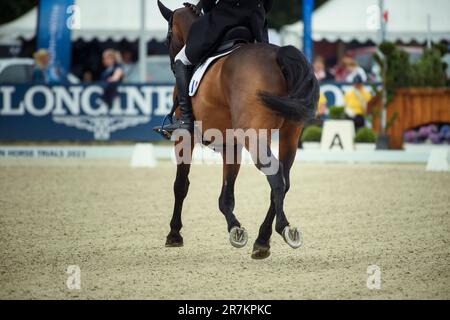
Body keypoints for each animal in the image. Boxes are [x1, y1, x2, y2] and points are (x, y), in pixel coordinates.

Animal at [158, 1, 320, 258]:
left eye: (168, 37)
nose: (173, 65)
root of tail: (278, 55)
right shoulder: (230, 143)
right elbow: (227, 195)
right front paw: (235, 228)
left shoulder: (184, 138)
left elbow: (181, 185)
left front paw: (174, 234)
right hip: (289, 136)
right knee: (283, 180)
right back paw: (262, 240)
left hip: (254, 138)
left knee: (275, 176)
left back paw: (284, 229)